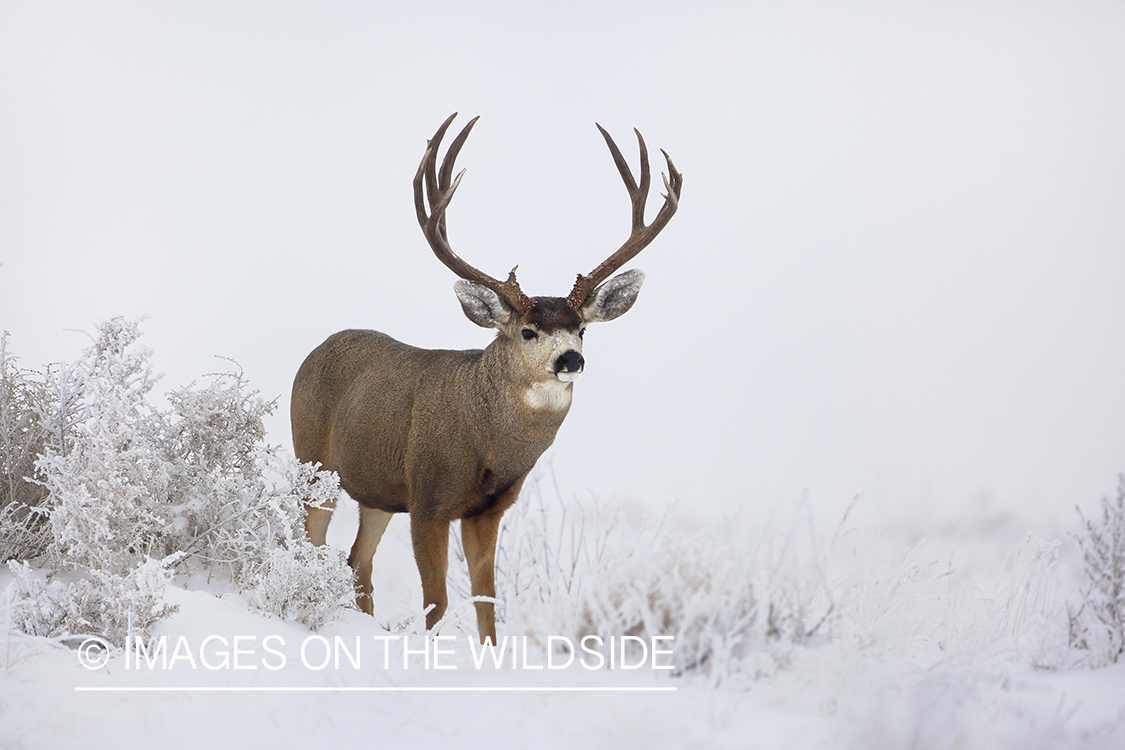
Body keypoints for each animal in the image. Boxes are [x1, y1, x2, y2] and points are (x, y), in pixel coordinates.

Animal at [290, 113, 679, 647]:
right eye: (528, 330)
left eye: (581, 328)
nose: (571, 359)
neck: (488, 443)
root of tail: (313, 353)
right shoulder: (428, 497)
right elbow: (437, 602)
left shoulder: (488, 509)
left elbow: (487, 603)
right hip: (313, 463)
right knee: (312, 544)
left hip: (377, 490)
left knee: (357, 562)